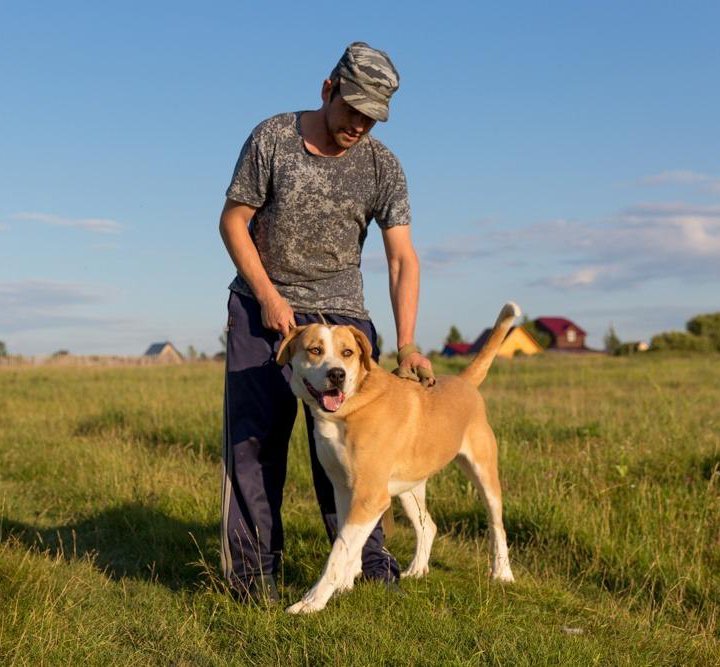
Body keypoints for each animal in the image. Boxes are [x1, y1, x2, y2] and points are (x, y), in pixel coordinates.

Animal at [278, 306, 520, 612]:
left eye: (347, 352)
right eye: (315, 350)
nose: (337, 375)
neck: (352, 405)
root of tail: (464, 381)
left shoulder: (369, 497)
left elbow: (339, 550)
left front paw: (311, 602)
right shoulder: (344, 489)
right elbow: (348, 543)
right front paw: (345, 584)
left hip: (484, 474)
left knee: (497, 526)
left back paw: (503, 573)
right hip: (409, 487)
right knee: (429, 526)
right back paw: (417, 569)